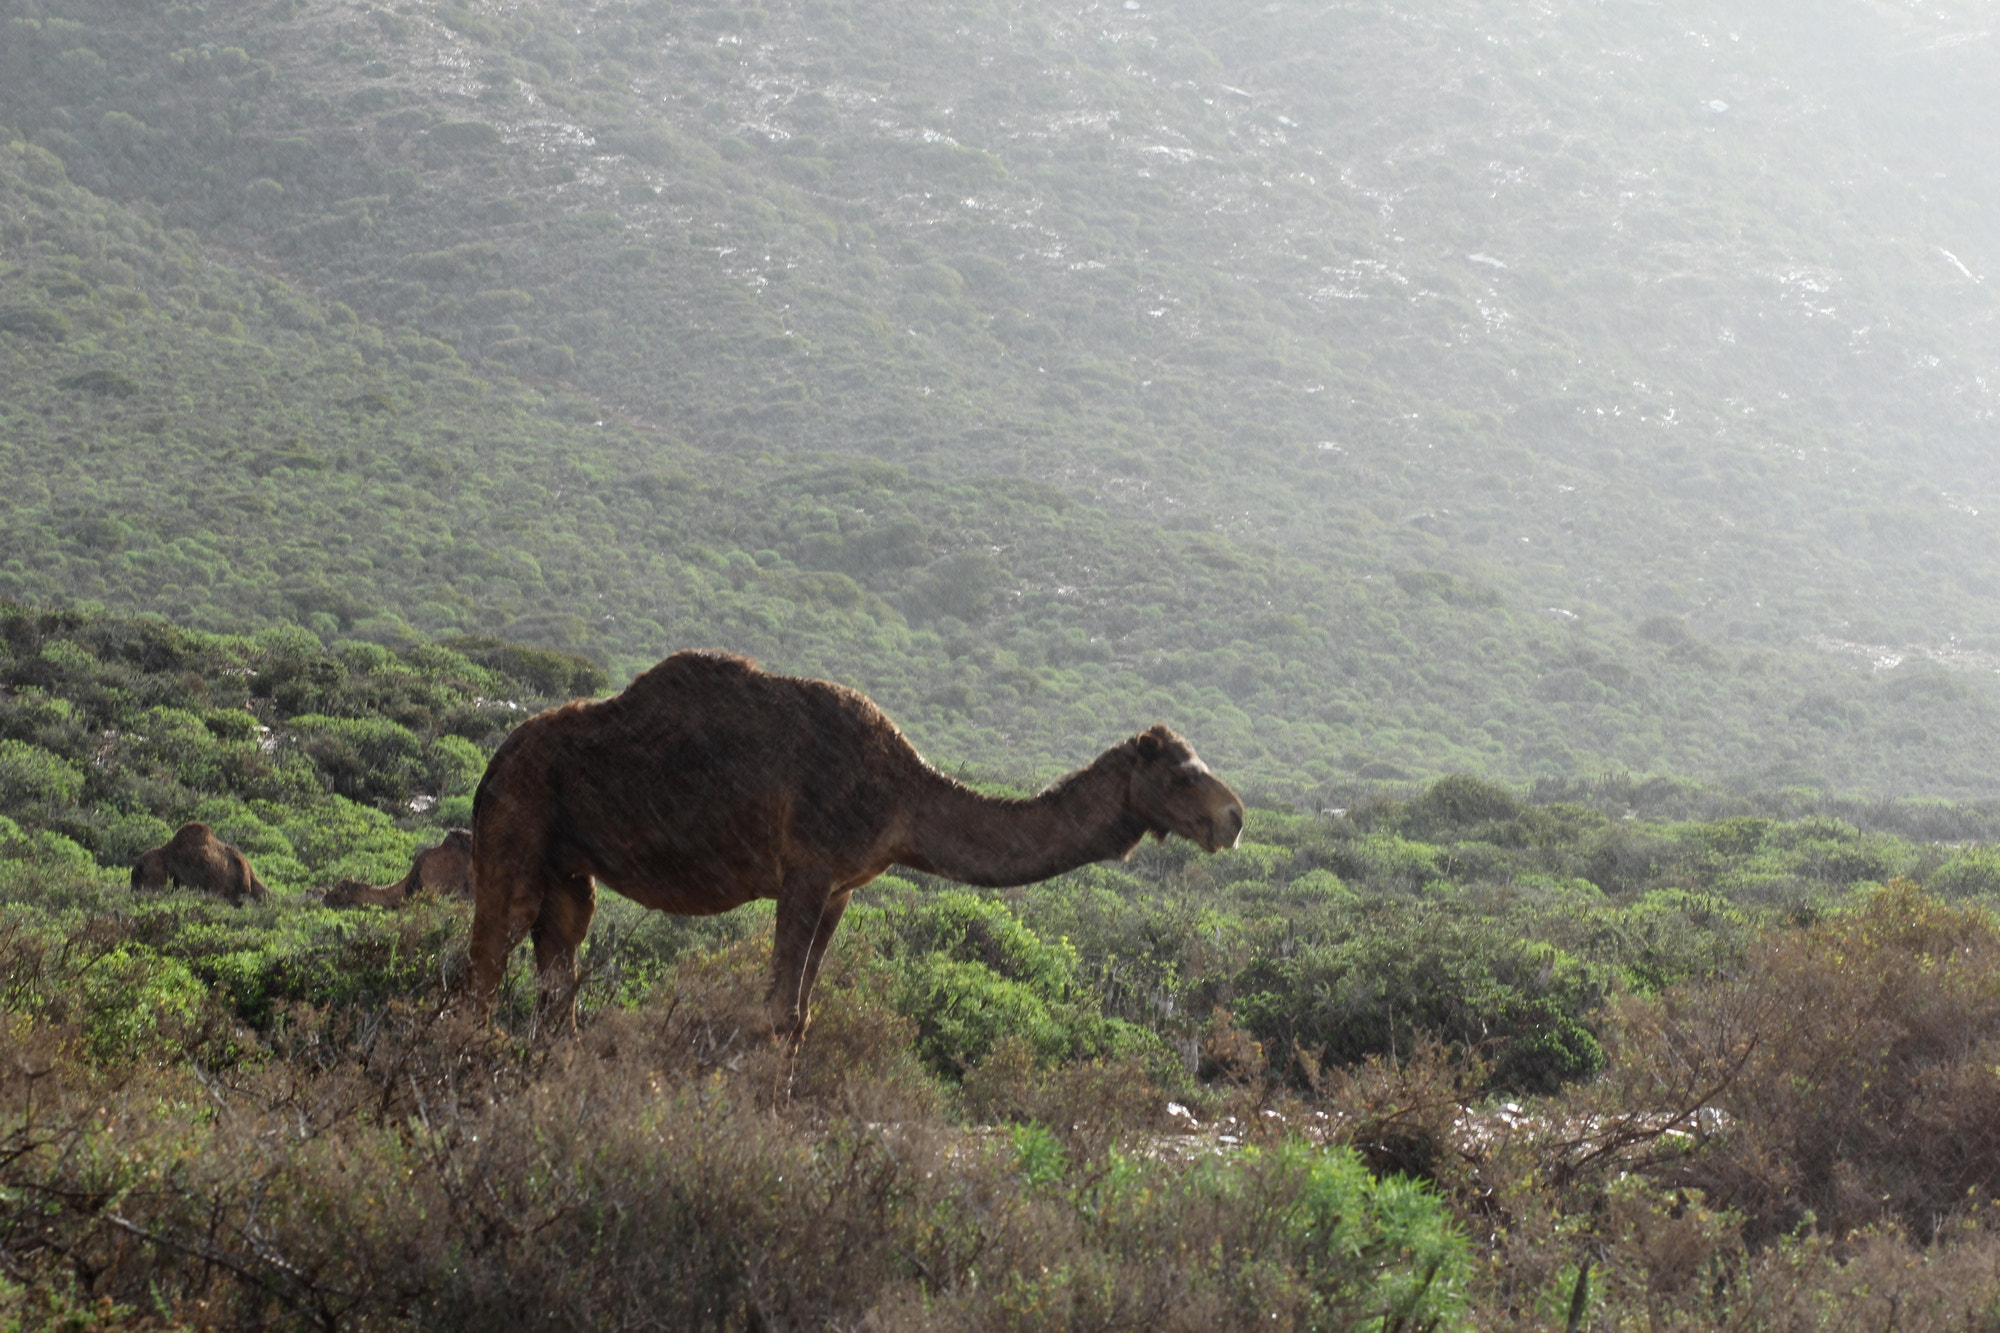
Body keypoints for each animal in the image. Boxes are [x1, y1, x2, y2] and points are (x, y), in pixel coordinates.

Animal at [474, 648, 1240, 1032]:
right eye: (1180, 773)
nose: (1232, 817)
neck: (902, 796)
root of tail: (495, 758)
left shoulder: (843, 887)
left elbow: (803, 1012)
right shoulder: (807, 868)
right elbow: (777, 1010)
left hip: (569, 871)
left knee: (556, 977)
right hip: (514, 826)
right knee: (484, 964)